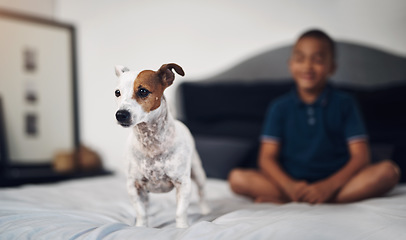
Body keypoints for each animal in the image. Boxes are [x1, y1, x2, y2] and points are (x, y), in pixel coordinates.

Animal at [114, 62, 209, 228]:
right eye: (117, 93)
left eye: (143, 91)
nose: (120, 114)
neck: (151, 143)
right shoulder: (133, 186)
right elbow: (141, 213)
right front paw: (141, 227)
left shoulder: (183, 184)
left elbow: (180, 212)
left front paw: (182, 228)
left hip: (198, 172)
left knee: (202, 192)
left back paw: (205, 210)